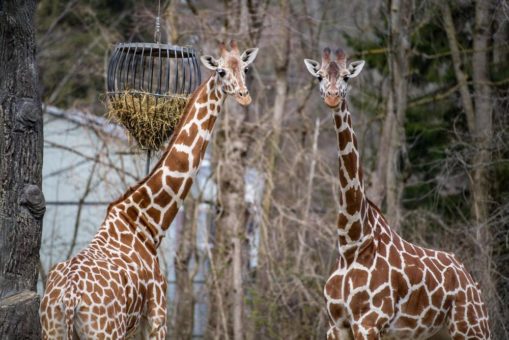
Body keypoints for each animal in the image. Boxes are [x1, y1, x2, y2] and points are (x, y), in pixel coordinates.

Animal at [40, 41, 260, 340]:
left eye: (245, 69)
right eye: (222, 71)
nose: (244, 97)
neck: (147, 223)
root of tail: (69, 299)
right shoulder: (157, 314)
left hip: (52, 328)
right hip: (105, 330)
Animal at [304, 47, 490, 340]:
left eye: (346, 77)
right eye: (320, 76)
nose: (332, 97)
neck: (351, 242)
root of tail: (472, 281)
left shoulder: (369, 322)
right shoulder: (337, 326)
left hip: (472, 327)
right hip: (436, 333)